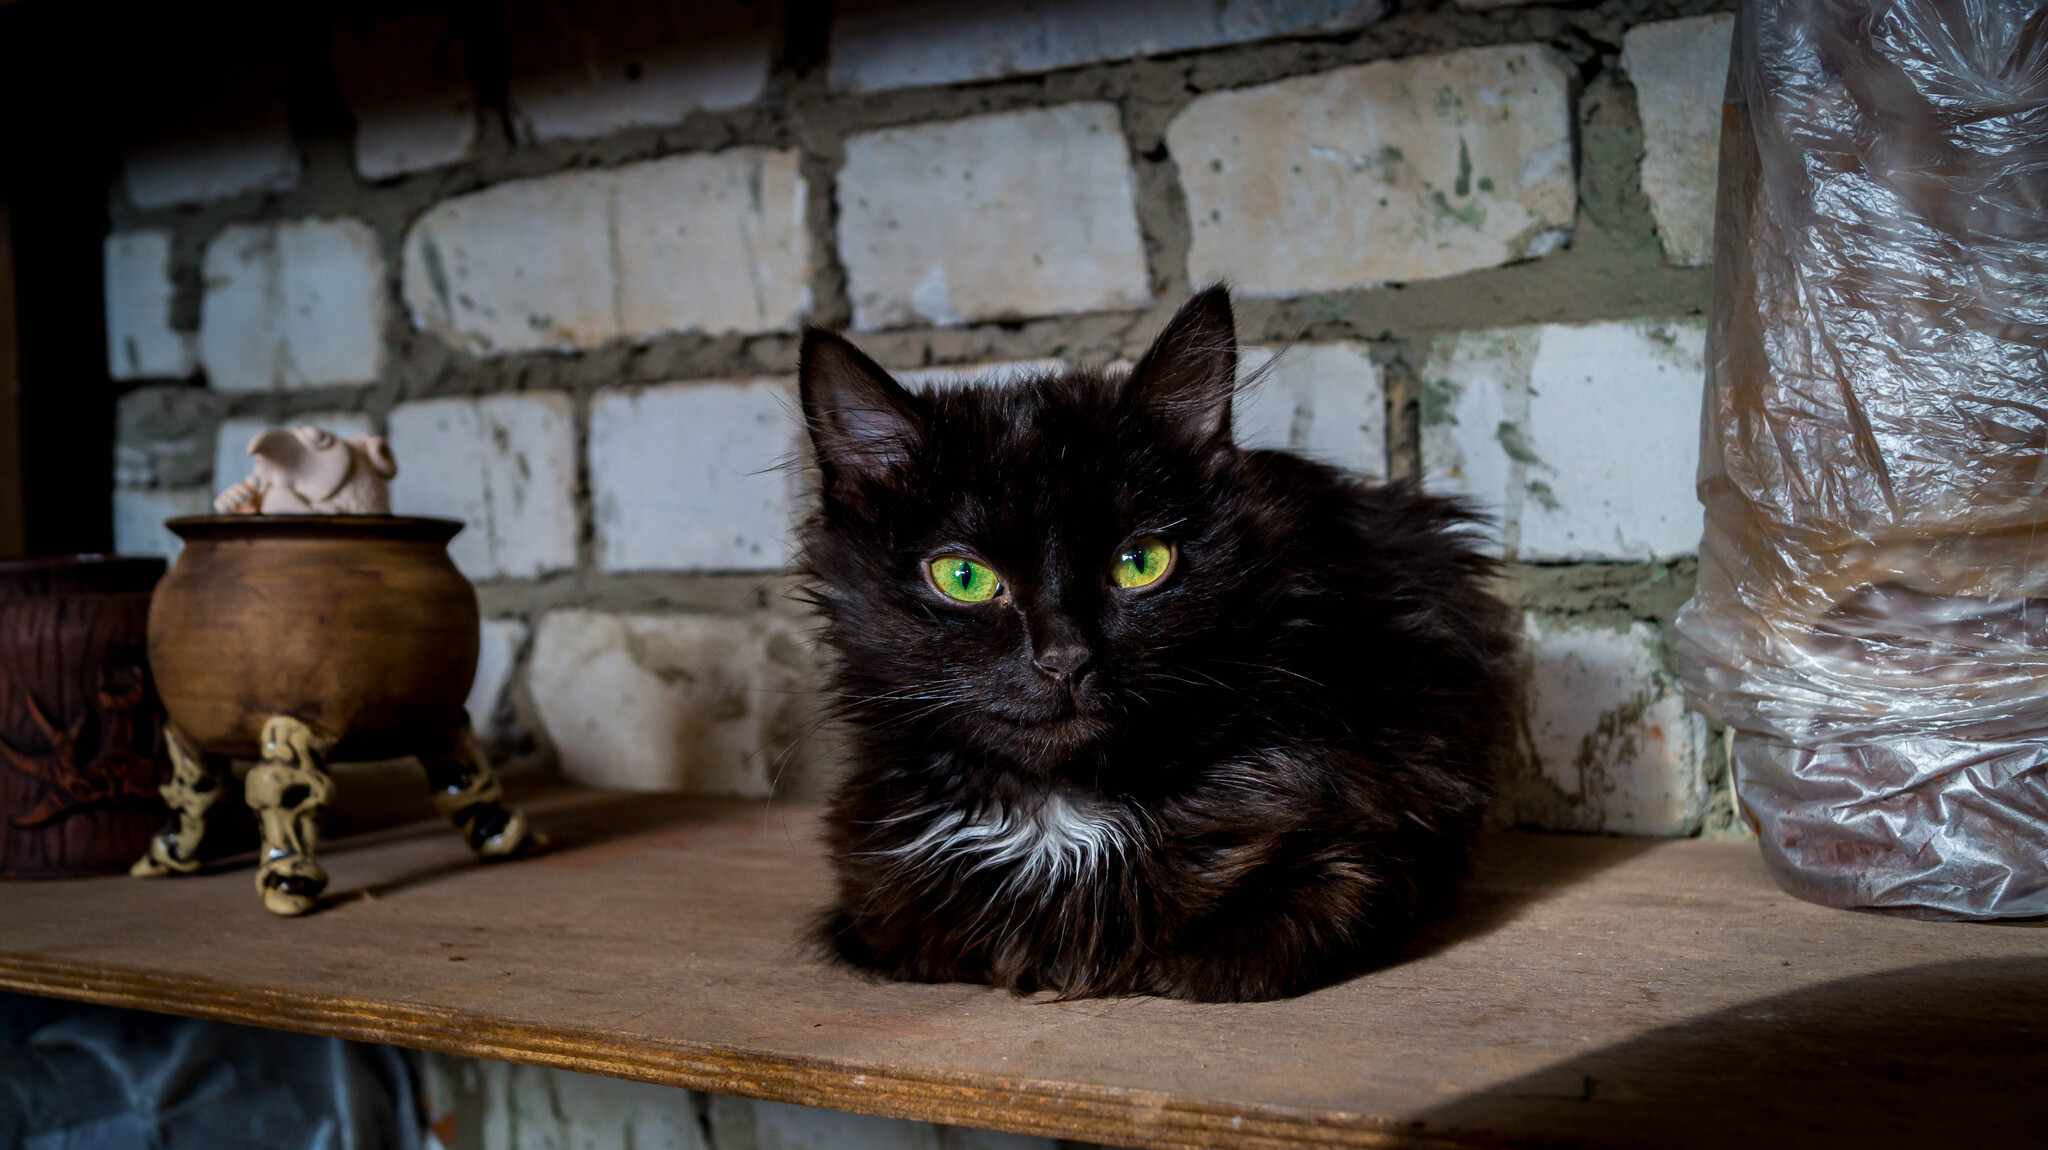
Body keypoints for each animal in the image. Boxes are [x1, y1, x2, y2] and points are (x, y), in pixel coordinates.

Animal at [798, 288, 1523, 1002]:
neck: (1062, 815)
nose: (1066, 658)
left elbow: (1287, 919)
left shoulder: (1376, 824)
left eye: (1141, 562)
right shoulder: (878, 889)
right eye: (964, 577)